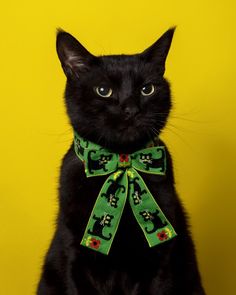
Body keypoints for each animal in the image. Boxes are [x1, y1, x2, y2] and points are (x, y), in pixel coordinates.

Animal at [37, 27, 205, 295]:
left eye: (147, 89)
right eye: (103, 91)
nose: (131, 109)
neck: (122, 162)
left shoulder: (160, 259)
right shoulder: (73, 254)